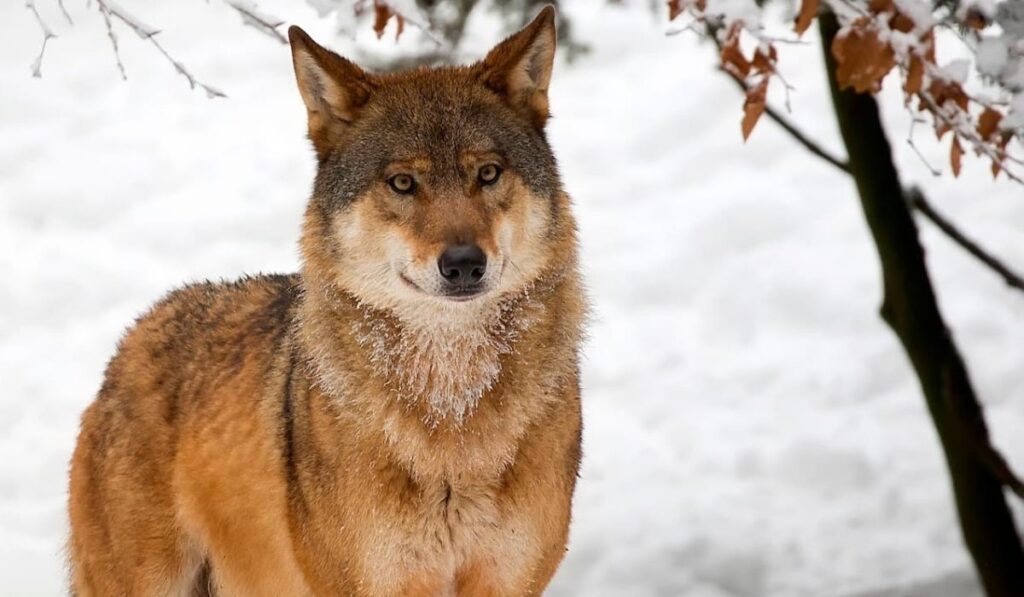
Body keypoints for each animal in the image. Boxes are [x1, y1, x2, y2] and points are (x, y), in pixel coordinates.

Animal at [67, 6, 586, 596]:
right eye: (402, 183)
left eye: (488, 173)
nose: (462, 263)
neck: (451, 414)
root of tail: (134, 334)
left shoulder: (509, 581)